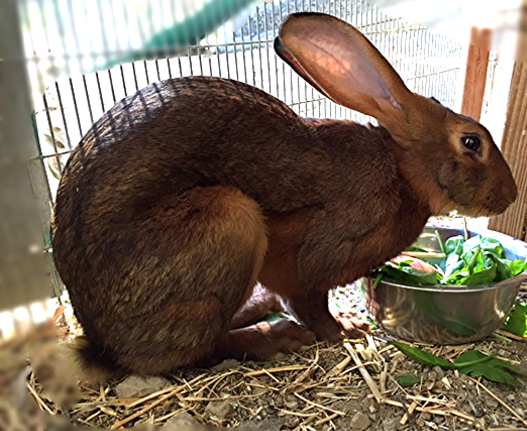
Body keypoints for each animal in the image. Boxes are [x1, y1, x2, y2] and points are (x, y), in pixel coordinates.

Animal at [51, 12, 516, 384]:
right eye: (471, 142)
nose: (510, 196)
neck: (402, 171)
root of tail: (102, 346)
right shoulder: (316, 259)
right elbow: (312, 303)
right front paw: (344, 330)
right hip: (230, 221)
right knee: (195, 349)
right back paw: (275, 338)